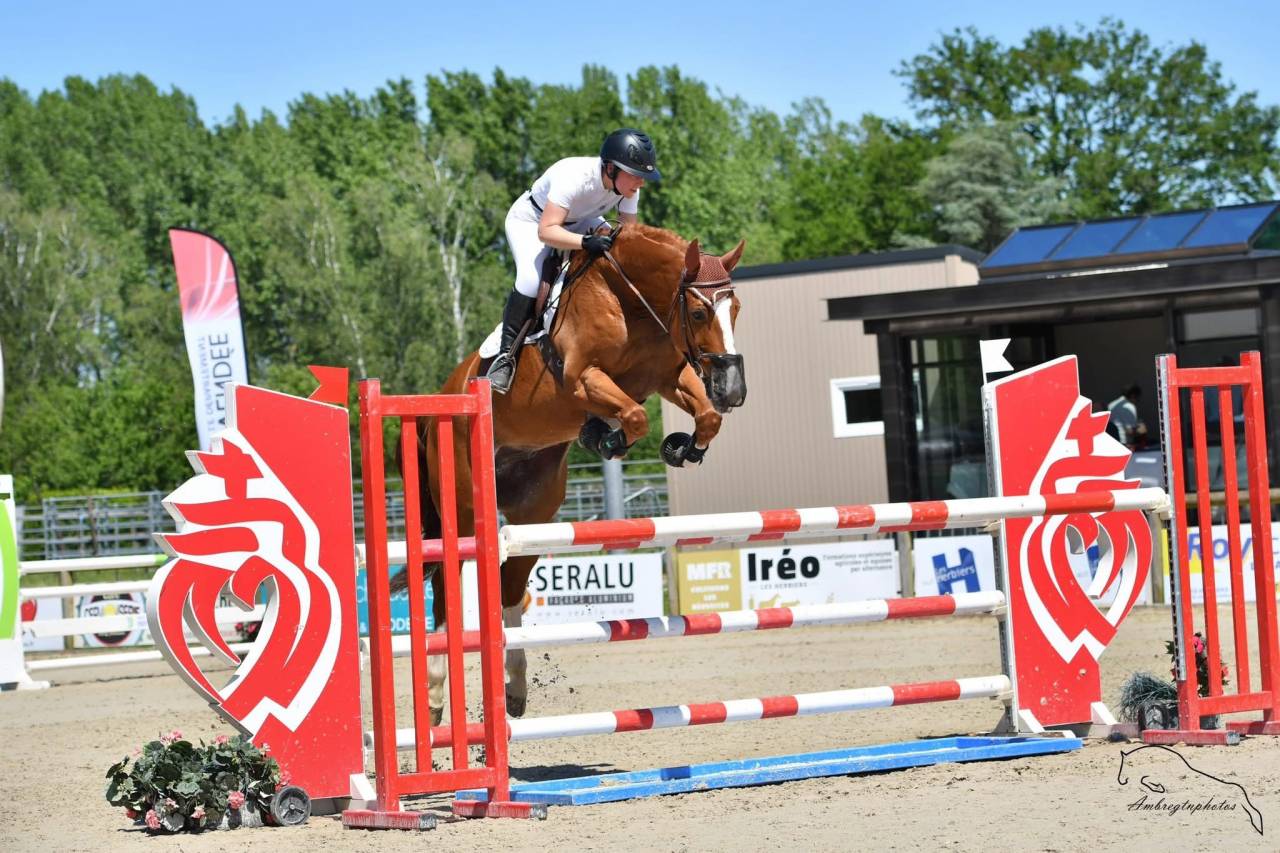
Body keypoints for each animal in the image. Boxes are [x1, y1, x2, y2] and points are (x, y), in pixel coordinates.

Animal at [402, 222, 747, 724]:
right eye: (700, 312)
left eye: (735, 309)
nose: (733, 390)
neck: (628, 298)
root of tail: (438, 403)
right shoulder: (585, 379)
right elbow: (634, 417)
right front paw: (606, 438)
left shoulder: (668, 376)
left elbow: (706, 418)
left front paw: (682, 448)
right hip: (463, 507)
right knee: (448, 585)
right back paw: (432, 697)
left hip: (533, 512)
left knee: (508, 589)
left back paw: (514, 689)